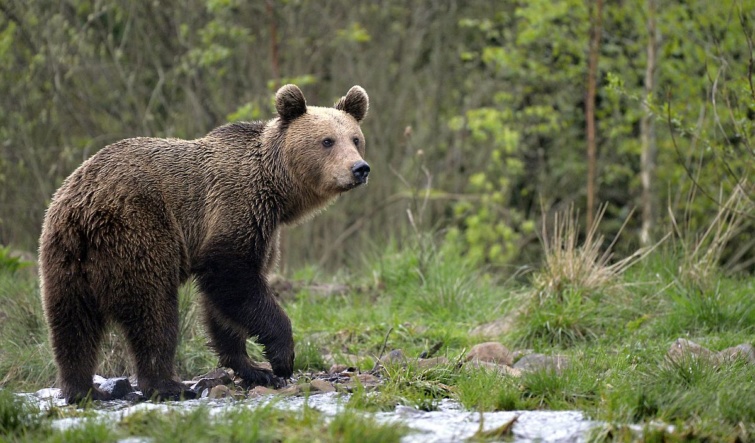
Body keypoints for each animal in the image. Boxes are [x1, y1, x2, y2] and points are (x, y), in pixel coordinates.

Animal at [39, 85, 370, 404]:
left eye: (355, 139)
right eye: (327, 141)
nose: (360, 168)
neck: (276, 190)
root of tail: (84, 208)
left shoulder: (262, 229)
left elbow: (223, 306)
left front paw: (254, 369)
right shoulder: (236, 211)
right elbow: (234, 280)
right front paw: (281, 359)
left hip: (65, 256)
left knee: (72, 325)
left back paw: (82, 389)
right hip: (138, 232)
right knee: (154, 311)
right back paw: (168, 385)